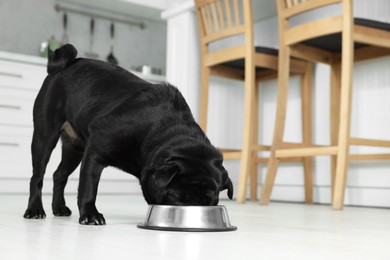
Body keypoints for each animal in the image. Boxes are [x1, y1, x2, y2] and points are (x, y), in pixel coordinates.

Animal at [23, 43, 232, 224]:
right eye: (176, 197)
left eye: (211, 202)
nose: (194, 210)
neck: (157, 130)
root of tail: (63, 66)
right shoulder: (95, 151)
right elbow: (88, 186)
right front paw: (90, 214)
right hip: (45, 135)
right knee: (37, 176)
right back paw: (34, 209)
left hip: (74, 149)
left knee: (59, 175)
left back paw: (59, 208)